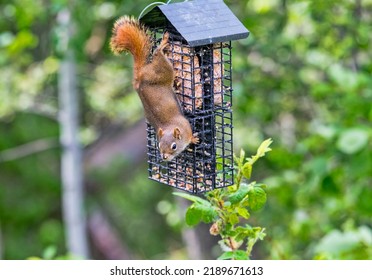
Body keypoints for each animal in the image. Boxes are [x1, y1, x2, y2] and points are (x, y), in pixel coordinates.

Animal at [109, 17, 199, 162]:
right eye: (159, 145)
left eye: (174, 146)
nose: (164, 157)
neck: (170, 127)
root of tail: (140, 76)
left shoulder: (186, 126)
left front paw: (192, 139)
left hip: (163, 69)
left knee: (157, 53)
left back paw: (163, 43)